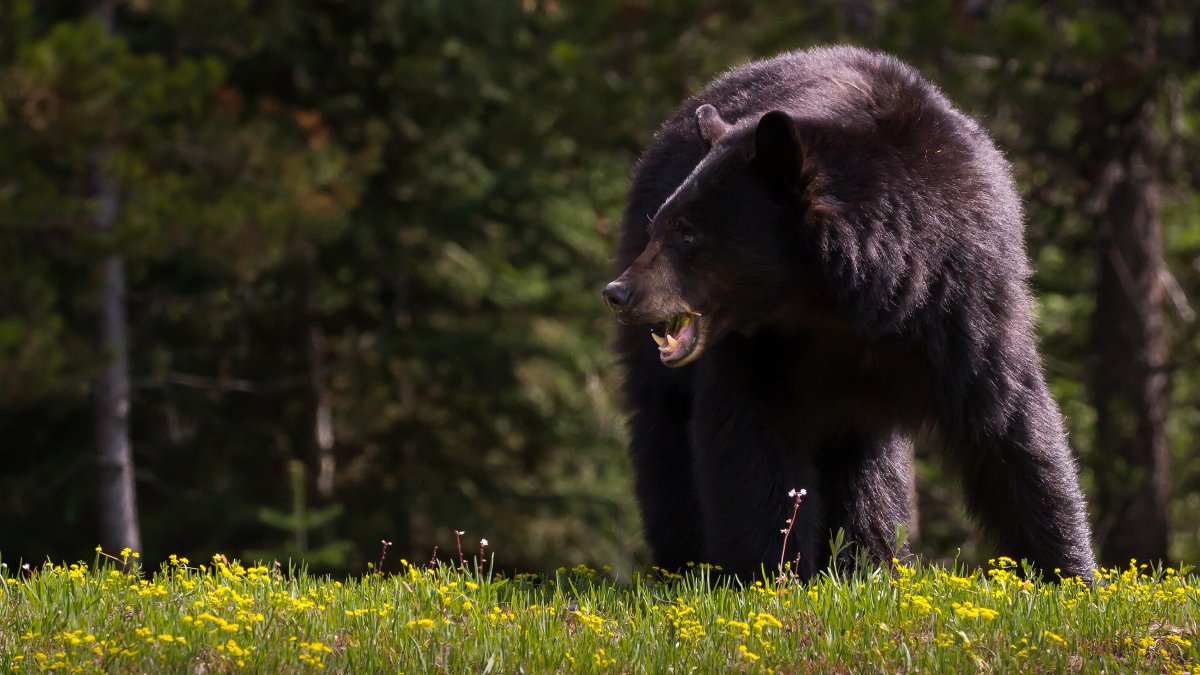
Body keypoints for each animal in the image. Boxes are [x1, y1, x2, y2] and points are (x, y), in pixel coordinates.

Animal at [602, 45, 1096, 581]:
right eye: (661, 224)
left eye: (688, 231)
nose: (619, 293)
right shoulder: (759, 347)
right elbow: (749, 438)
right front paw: (772, 574)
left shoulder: (962, 302)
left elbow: (1010, 427)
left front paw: (1073, 574)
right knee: (665, 439)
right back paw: (685, 564)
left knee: (869, 475)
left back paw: (870, 561)